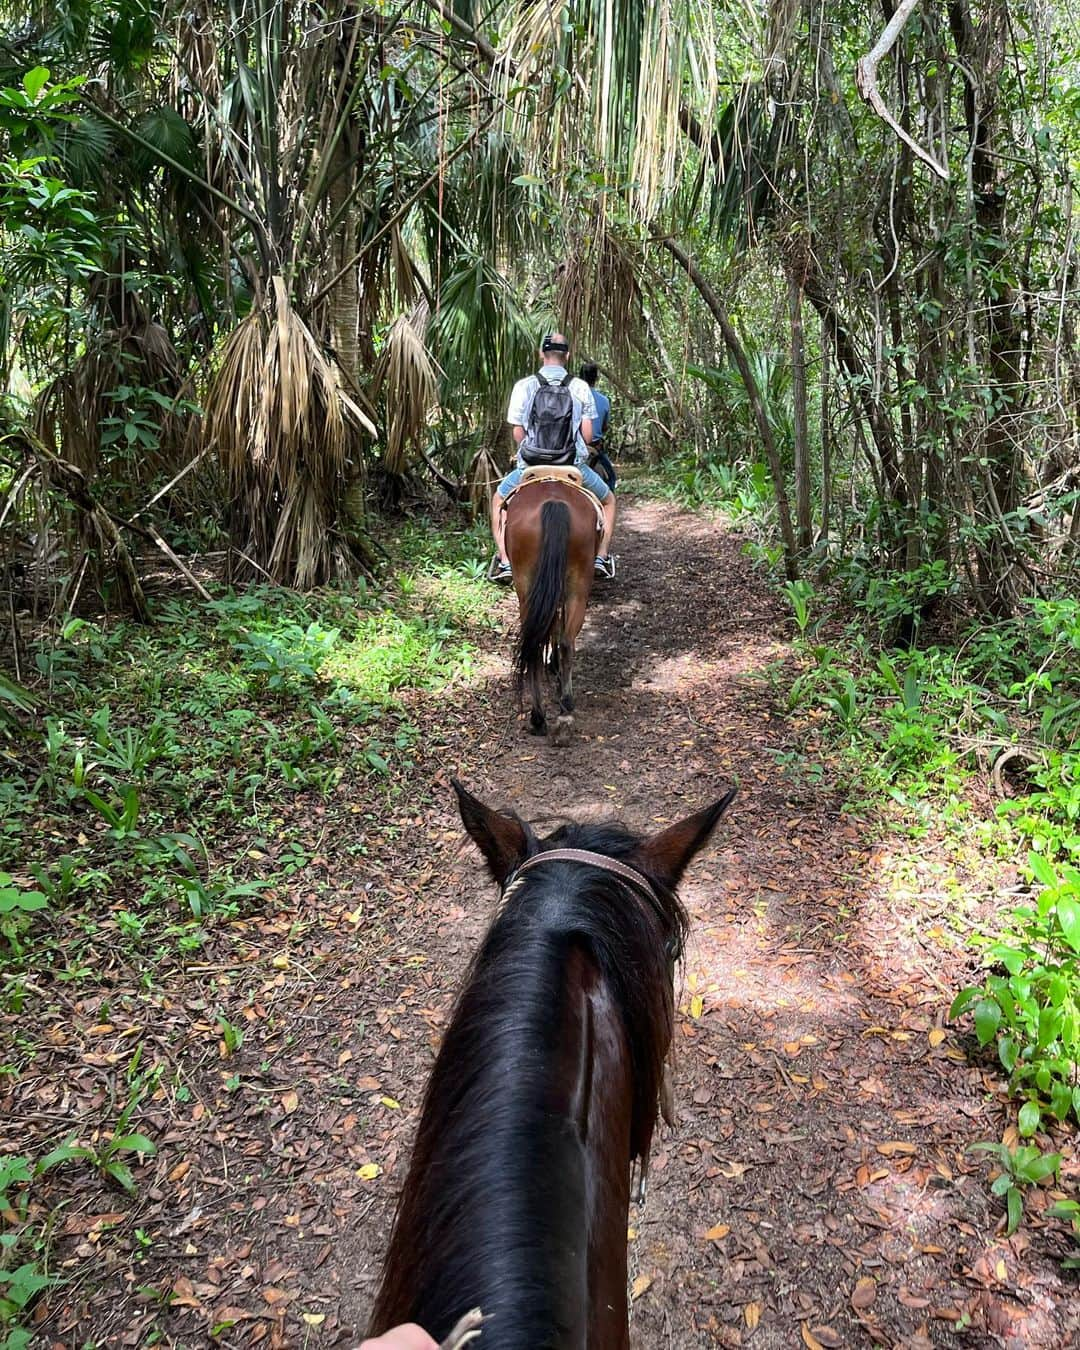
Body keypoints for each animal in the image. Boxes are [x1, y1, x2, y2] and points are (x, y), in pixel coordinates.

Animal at [504, 475, 602, 750]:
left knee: (538, 644)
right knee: (562, 641)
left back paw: (541, 717)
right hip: (576, 585)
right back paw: (562, 710)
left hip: (529, 585)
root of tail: (554, 502)